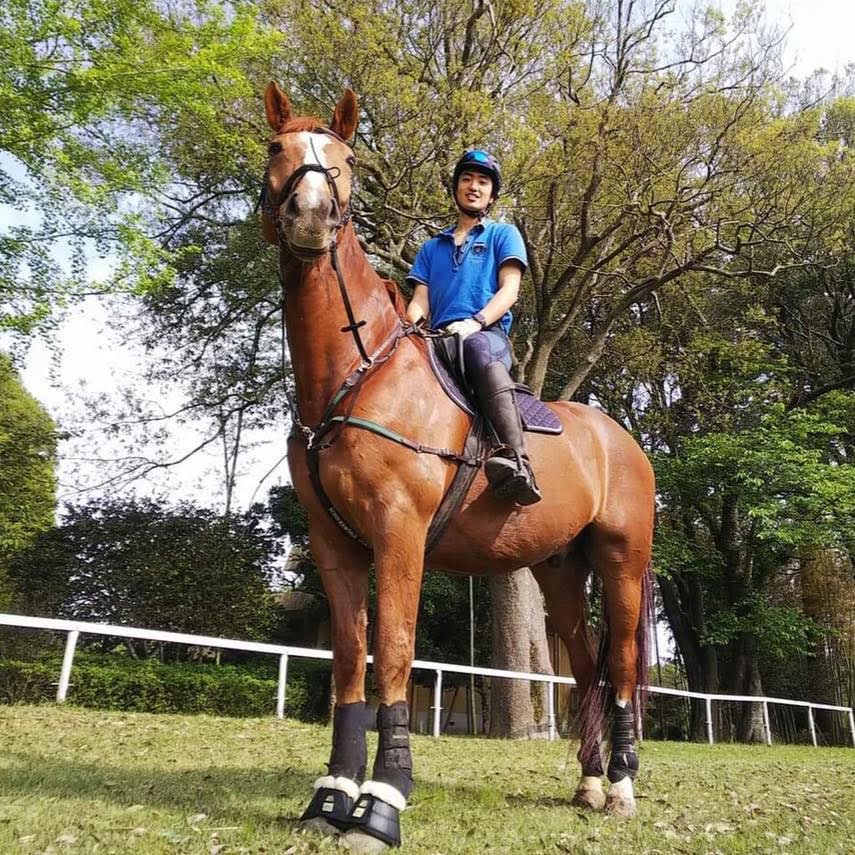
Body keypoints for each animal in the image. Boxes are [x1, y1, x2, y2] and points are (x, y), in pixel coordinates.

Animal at [259, 81, 655, 851]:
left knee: (620, 664)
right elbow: (350, 661)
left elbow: (394, 652)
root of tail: (620, 438)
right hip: (560, 571)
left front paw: (381, 801)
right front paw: (331, 794)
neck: (356, 375)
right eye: (276, 149)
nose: (311, 214)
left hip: (622, 563)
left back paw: (622, 785)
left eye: (345, 159)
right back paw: (590, 782)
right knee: (585, 664)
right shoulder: (334, 547)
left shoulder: (399, 535)